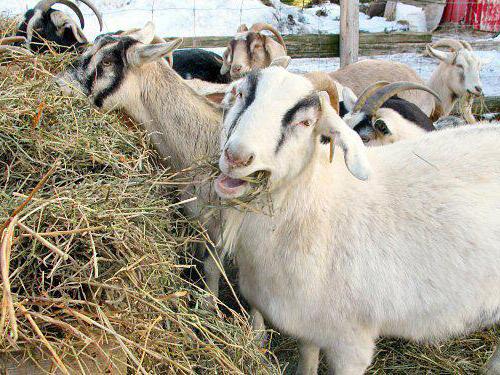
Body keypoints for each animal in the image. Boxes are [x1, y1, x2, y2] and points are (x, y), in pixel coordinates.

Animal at [217, 66, 500, 374]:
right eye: (241, 95)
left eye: (305, 122)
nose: (237, 157)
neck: (320, 206)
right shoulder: (308, 330)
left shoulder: (351, 344)